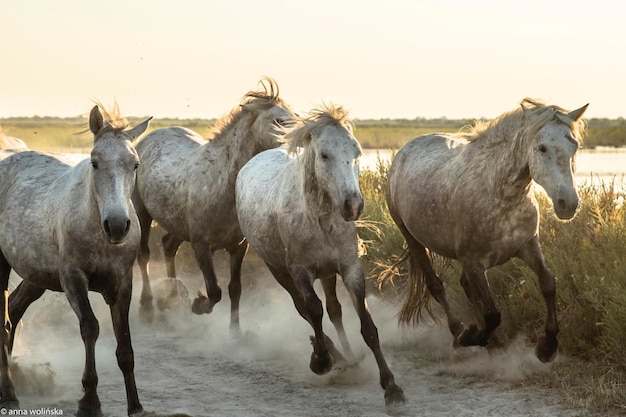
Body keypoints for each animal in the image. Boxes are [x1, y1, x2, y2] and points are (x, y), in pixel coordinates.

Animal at [0, 102, 151, 414]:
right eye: (94, 162)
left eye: (135, 164)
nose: (117, 225)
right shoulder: (73, 278)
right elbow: (90, 328)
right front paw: (89, 399)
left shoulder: (123, 283)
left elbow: (125, 346)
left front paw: (135, 405)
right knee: (3, 319)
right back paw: (8, 392)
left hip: (36, 277)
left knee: (14, 309)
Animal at [133, 77, 294, 332]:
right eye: (278, 120)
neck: (222, 185)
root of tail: (145, 139)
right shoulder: (201, 246)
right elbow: (214, 291)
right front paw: (198, 305)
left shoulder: (238, 247)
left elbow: (234, 289)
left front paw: (235, 331)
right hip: (143, 214)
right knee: (144, 255)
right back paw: (148, 307)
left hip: (177, 223)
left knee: (168, 245)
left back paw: (171, 298)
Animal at [236, 105, 408, 406]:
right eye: (325, 155)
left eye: (357, 152)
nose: (353, 205)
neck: (319, 217)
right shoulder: (300, 271)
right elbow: (313, 311)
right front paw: (321, 360)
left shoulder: (349, 268)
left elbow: (367, 325)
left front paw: (391, 387)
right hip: (278, 269)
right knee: (304, 308)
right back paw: (332, 355)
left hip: (327, 272)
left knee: (334, 310)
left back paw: (348, 357)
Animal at [386, 97, 584, 360]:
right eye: (542, 148)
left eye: (575, 146)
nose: (568, 204)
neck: (499, 194)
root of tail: (404, 151)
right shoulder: (474, 261)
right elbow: (492, 314)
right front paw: (472, 336)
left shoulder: (528, 245)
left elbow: (548, 284)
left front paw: (547, 346)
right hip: (413, 240)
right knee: (436, 286)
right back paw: (459, 333)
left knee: (465, 287)